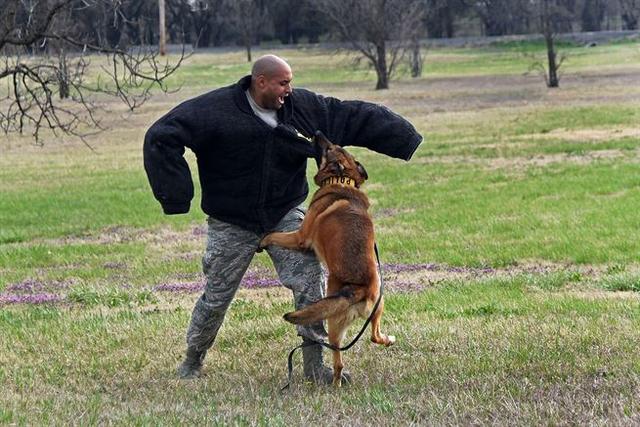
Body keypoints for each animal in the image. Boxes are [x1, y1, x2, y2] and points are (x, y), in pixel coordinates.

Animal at [260, 131, 396, 388]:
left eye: (330, 147)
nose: (317, 132)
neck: (342, 180)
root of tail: (358, 289)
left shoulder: (300, 237)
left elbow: (275, 235)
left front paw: (263, 240)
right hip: (379, 304)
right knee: (374, 336)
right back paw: (388, 339)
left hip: (333, 324)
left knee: (338, 361)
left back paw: (334, 385)